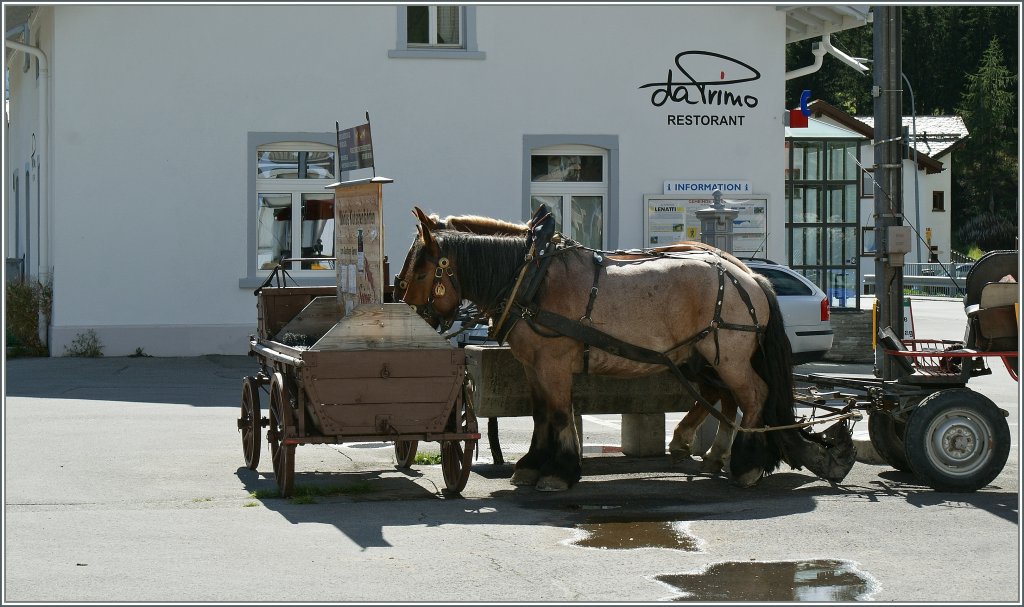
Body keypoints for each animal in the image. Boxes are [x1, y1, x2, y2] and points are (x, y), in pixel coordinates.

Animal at [395, 210, 741, 470]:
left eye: (421, 274)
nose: (409, 315)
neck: (529, 275)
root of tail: (732, 263)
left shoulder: (554, 362)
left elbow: (560, 411)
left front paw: (560, 467)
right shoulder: (534, 363)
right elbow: (544, 412)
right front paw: (541, 463)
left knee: (730, 394)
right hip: (697, 357)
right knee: (722, 394)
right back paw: (702, 448)